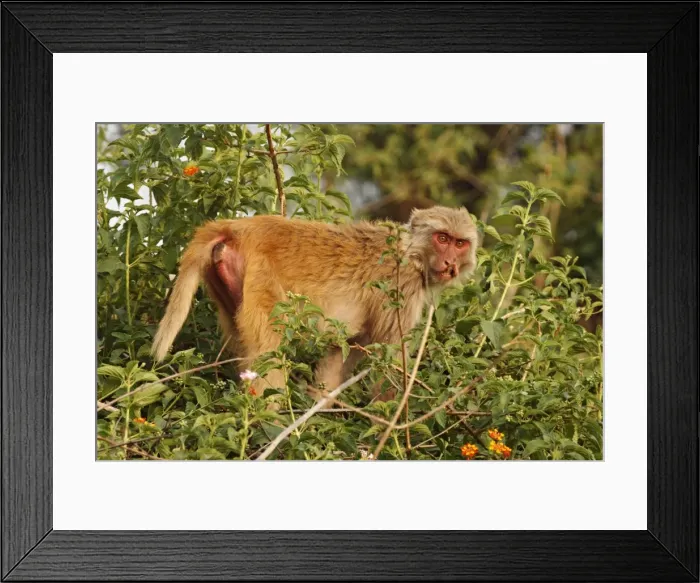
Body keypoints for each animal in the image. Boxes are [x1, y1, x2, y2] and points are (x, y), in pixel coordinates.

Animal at [151, 206, 479, 397]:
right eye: (442, 238)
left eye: (460, 243)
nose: (450, 262)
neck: (411, 252)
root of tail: (239, 229)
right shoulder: (401, 291)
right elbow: (388, 366)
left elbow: (338, 355)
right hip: (262, 279)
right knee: (270, 351)